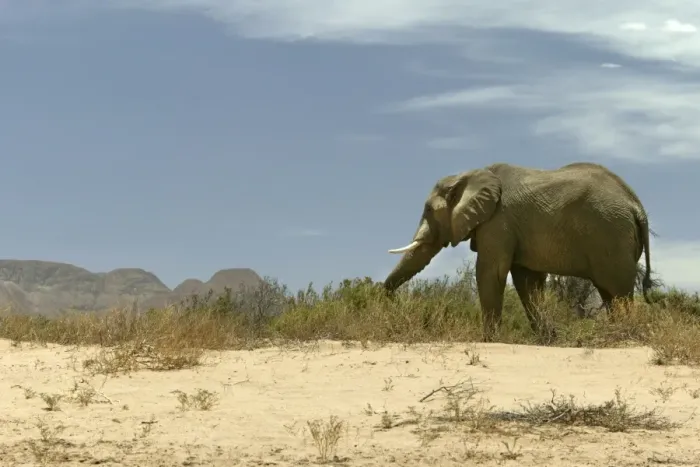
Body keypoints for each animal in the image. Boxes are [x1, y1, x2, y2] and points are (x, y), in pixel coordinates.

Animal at [383, 161, 653, 341]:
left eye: (428, 210)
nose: (391, 301)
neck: (470, 175)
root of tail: (637, 206)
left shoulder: (499, 221)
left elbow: (491, 272)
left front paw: (489, 341)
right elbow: (526, 281)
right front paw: (548, 339)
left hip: (612, 235)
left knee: (618, 291)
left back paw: (626, 336)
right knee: (610, 293)